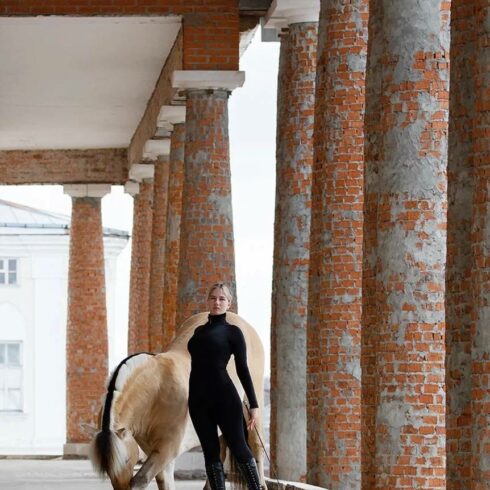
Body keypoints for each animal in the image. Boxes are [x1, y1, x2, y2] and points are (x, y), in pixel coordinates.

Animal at [89, 312, 267, 490]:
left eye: (126, 460)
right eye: (107, 469)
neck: (155, 393)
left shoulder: (167, 448)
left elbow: (140, 480)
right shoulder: (157, 453)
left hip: (250, 405)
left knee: (255, 446)